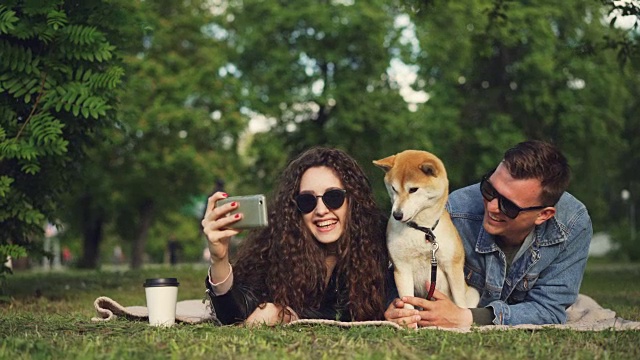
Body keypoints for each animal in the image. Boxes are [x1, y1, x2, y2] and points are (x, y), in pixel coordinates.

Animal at [372, 150, 478, 308]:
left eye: (413, 189)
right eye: (394, 189)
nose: (397, 215)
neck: (421, 229)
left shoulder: (453, 266)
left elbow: (460, 304)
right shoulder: (402, 269)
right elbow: (408, 306)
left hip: (473, 293)